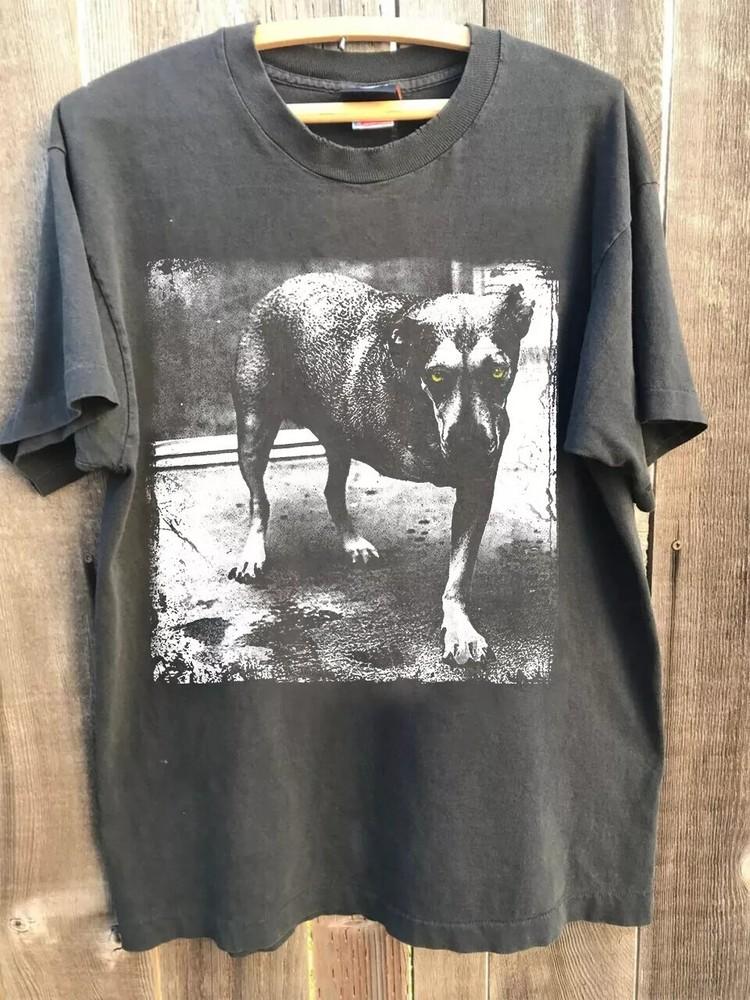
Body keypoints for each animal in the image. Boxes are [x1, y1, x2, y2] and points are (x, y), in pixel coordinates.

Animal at [228, 272, 534, 665]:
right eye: (437, 376)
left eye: (497, 371)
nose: (469, 446)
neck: (420, 405)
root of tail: (282, 288)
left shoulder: (475, 492)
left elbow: (460, 572)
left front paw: (459, 624)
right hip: (255, 431)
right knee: (259, 499)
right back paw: (253, 551)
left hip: (339, 441)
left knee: (332, 491)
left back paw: (352, 542)